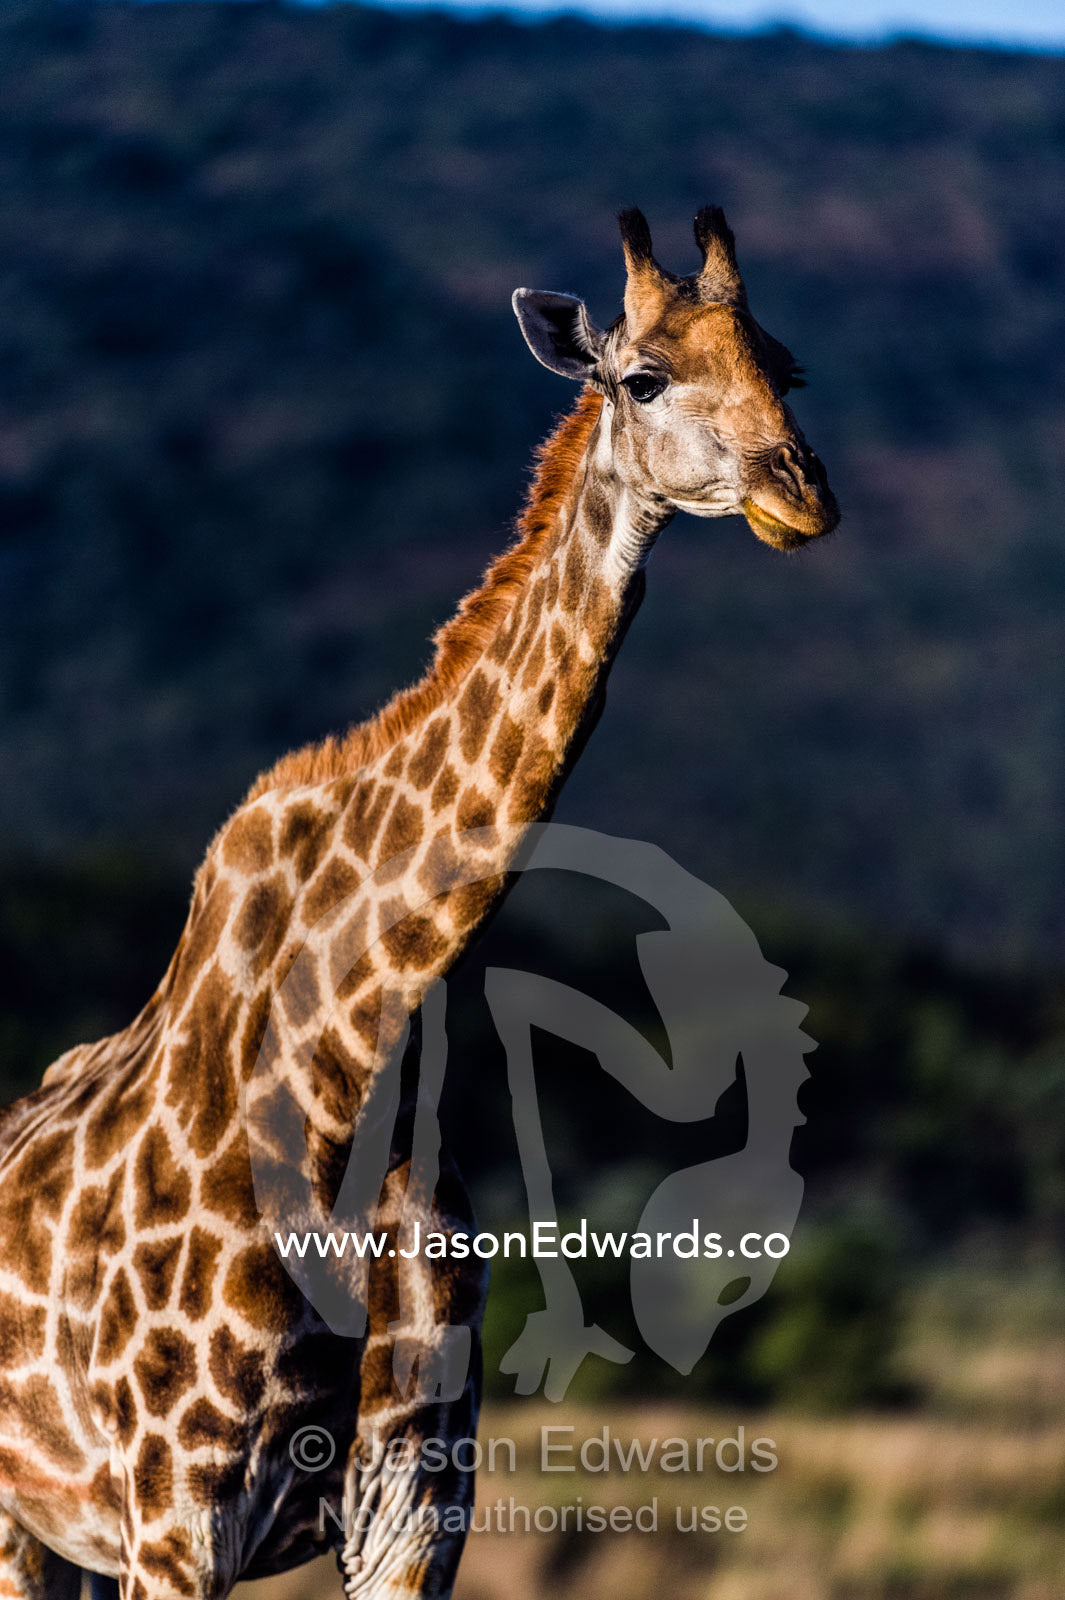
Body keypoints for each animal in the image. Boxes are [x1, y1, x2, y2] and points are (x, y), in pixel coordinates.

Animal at [0, 208, 838, 1600]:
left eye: (788, 368)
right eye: (643, 377)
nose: (802, 494)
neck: (348, 1064)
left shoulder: (413, 1510)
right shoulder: (174, 1513)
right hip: (35, 1518)